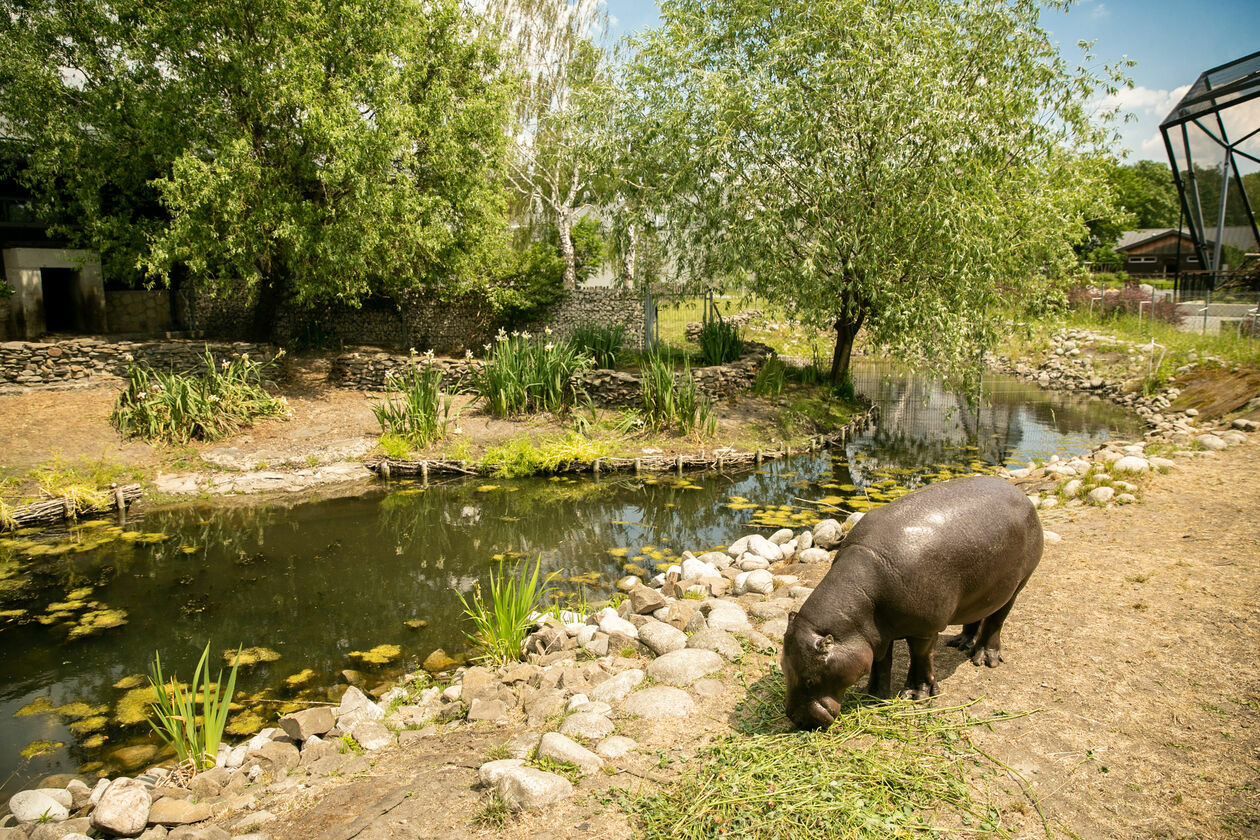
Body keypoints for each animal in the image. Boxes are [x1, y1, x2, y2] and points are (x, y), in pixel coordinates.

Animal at [781, 478, 1038, 730]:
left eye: (810, 680)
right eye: (783, 667)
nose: (796, 718)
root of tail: (1020, 493)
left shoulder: (924, 630)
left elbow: (920, 659)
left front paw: (916, 696)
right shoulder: (877, 635)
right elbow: (880, 663)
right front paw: (872, 695)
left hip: (1017, 585)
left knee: (996, 620)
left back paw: (984, 659)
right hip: (980, 593)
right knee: (977, 615)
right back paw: (961, 643)